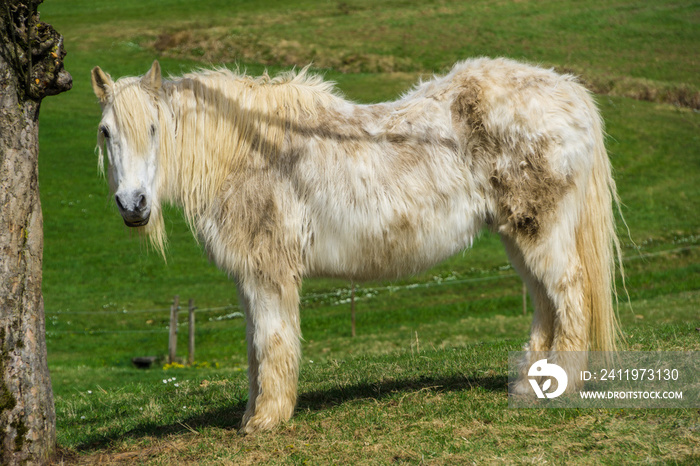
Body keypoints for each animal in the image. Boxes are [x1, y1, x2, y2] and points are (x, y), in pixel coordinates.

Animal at [93, 58, 624, 434]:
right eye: (105, 132)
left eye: (154, 129)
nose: (133, 204)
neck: (249, 152)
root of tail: (570, 91)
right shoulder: (250, 279)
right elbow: (253, 349)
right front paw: (251, 415)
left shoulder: (269, 274)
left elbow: (272, 342)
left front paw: (266, 420)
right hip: (519, 236)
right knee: (544, 303)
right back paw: (533, 384)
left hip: (541, 231)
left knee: (570, 295)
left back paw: (559, 385)